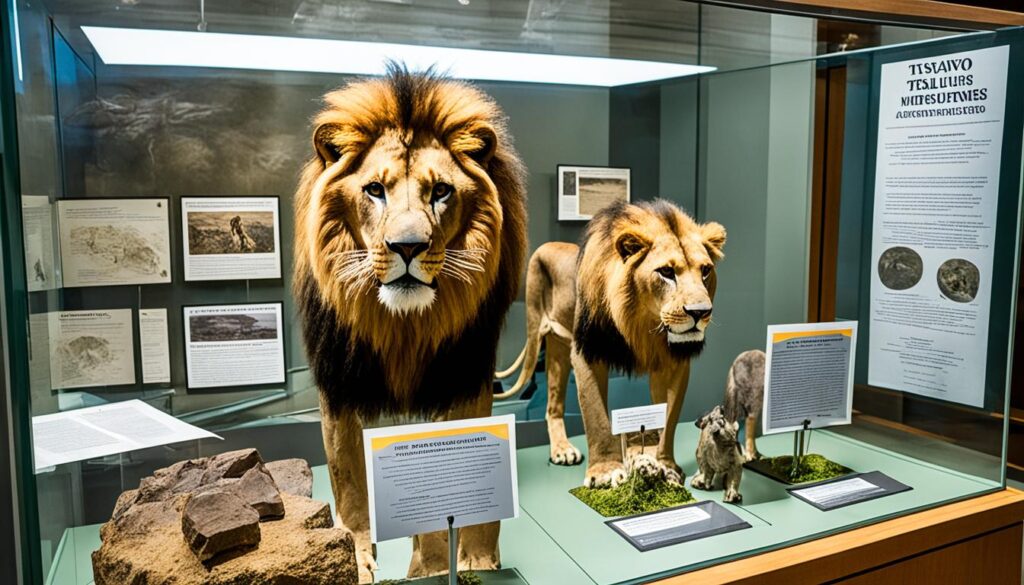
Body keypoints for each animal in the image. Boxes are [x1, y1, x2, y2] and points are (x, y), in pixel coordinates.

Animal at [493, 198, 720, 487]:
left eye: (706, 271)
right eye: (667, 272)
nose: (700, 312)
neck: (643, 324)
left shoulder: (675, 361)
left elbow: (668, 421)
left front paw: (665, 466)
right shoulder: (587, 352)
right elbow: (596, 415)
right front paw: (605, 471)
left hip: (558, 345)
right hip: (537, 332)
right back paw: (563, 449)